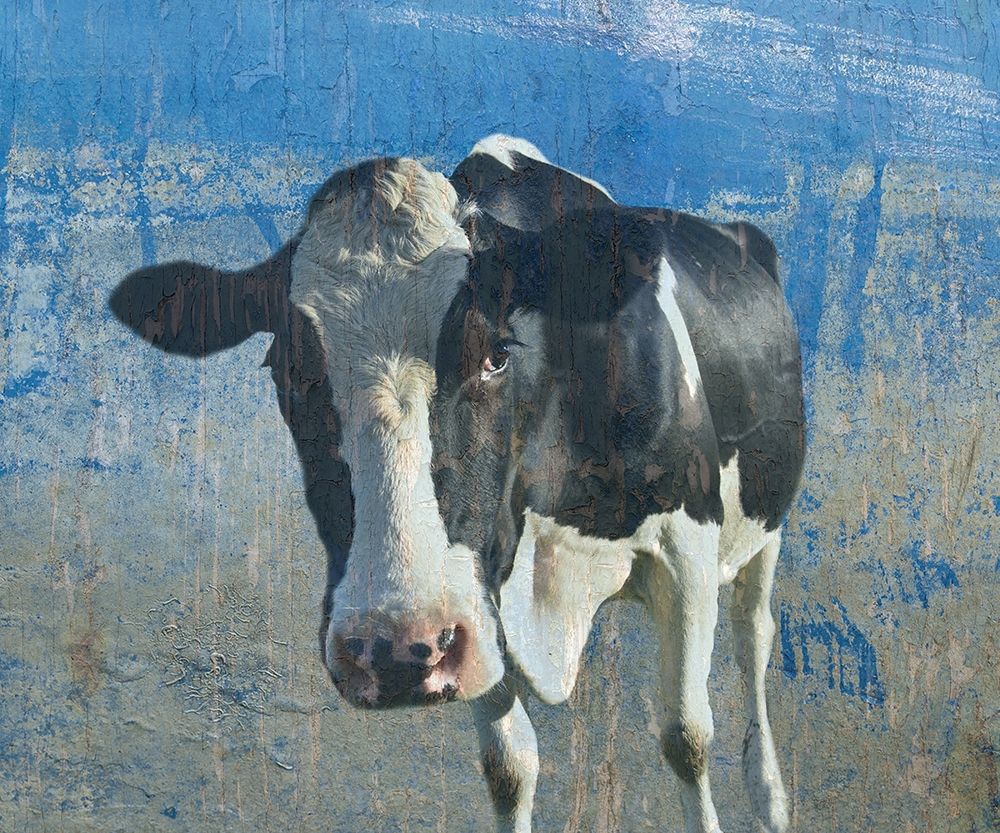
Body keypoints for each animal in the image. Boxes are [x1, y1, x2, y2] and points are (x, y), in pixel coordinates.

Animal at [110, 135, 804, 833]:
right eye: (287, 370)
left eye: (496, 352)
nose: (392, 650)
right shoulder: (479, 583)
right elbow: (509, 765)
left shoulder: (686, 546)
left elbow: (686, 737)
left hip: (765, 527)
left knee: (753, 636)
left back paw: (771, 795)